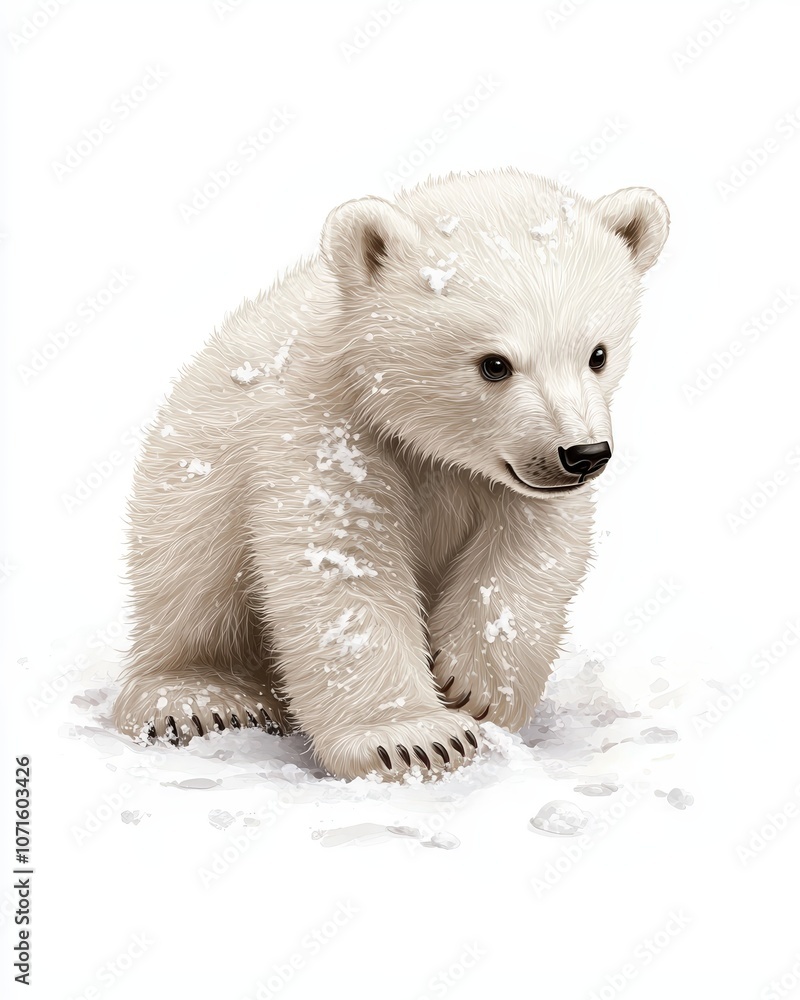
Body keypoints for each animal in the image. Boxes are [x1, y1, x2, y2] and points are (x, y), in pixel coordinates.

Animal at [113, 168, 669, 781]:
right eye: (493, 364)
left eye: (597, 353)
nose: (583, 454)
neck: (425, 442)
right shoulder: (328, 428)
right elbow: (344, 564)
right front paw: (413, 739)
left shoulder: (512, 482)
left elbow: (531, 551)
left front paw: (476, 688)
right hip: (190, 496)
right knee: (191, 589)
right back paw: (198, 698)